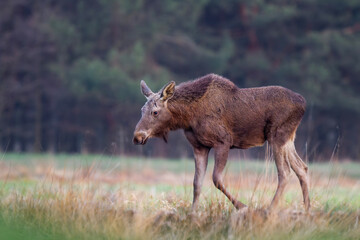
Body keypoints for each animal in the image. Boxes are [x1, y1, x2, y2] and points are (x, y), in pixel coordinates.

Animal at [132, 74, 310, 211]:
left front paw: (243, 206)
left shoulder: (223, 142)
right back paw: (307, 209)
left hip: (277, 135)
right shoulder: (199, 147)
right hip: (288, 138)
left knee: (285, 172)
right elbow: (197, 183)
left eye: (155, 112)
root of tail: (303, 103)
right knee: (302, 168)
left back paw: (270, 210)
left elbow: (216, 179)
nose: (137, 137)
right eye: (141, 110)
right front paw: (192, 213)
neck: (187, 118)